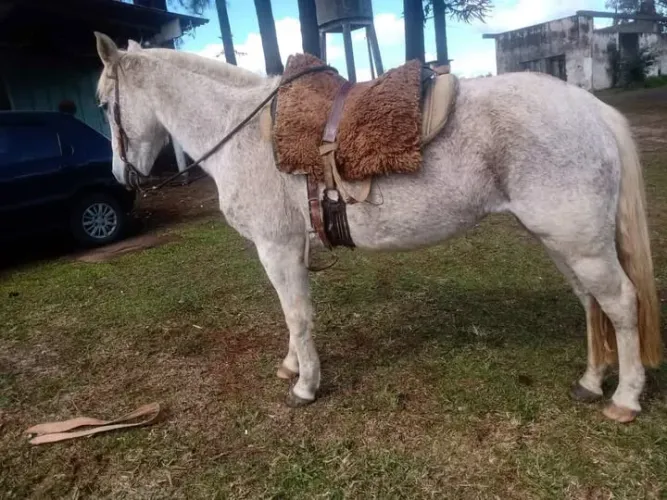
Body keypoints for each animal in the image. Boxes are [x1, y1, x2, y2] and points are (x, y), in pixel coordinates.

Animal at [93, 32, 661, 423]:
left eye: (102, 102)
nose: (121, 177)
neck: (247, 132)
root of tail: (591, 108)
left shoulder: (276, 247)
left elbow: (296, 314)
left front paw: (305, 386)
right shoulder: (293, 248)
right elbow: (294, 316)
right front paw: (292, 365)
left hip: (581, 243)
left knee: (620, 304)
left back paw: (625, 398)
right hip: (563, 241)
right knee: (590, 302)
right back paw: (591, 380)